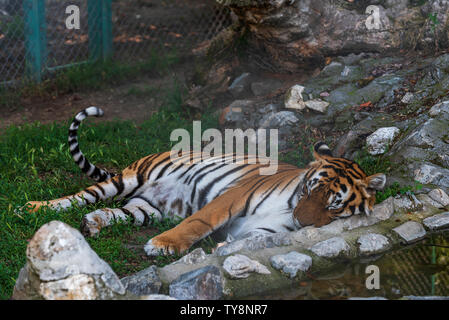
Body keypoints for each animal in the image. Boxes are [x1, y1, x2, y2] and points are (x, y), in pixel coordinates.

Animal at [22, 106, 384, 256]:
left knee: (114, 212)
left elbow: (243, 244)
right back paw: (31, 208)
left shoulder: (258, 231)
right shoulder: (233, 196)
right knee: (78, 197)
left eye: (334, 205)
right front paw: (162, 245)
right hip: (126, 180)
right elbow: (198, 222)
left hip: (145, 209)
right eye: (309, 190)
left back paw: (91, 224)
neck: (289, 206)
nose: (301, 221)